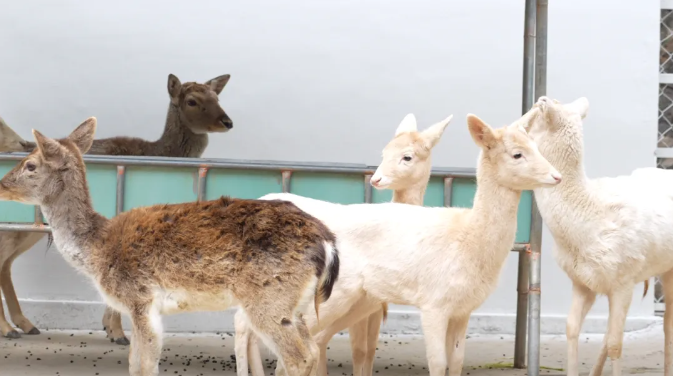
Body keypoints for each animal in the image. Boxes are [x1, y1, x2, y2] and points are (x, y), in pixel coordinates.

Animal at [0, 72, 234, 344]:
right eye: (192, 101)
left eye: (217, 97)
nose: (227, 122)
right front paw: (118, 332)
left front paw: (111, 328)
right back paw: (8, 328)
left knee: (6, 264)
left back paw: (25, 324)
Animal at [0, 117, 338, 376]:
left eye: (30, 165)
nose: (2, 184)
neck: (97, 249)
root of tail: (327, 242)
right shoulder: (139, 306)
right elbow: (134, 363)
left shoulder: (140, 298)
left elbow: (145, 365)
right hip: (295, 304)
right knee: (311, 349)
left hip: (269, 298)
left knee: (298, 356)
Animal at [238, 112, 560, 376]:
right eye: (517, 154)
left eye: (536, 146)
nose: (556, 175)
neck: (468, 238)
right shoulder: (433, 303)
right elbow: (437, 363)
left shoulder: (463, 309)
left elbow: (456, 363)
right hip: (325, 295)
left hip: (355, 300)